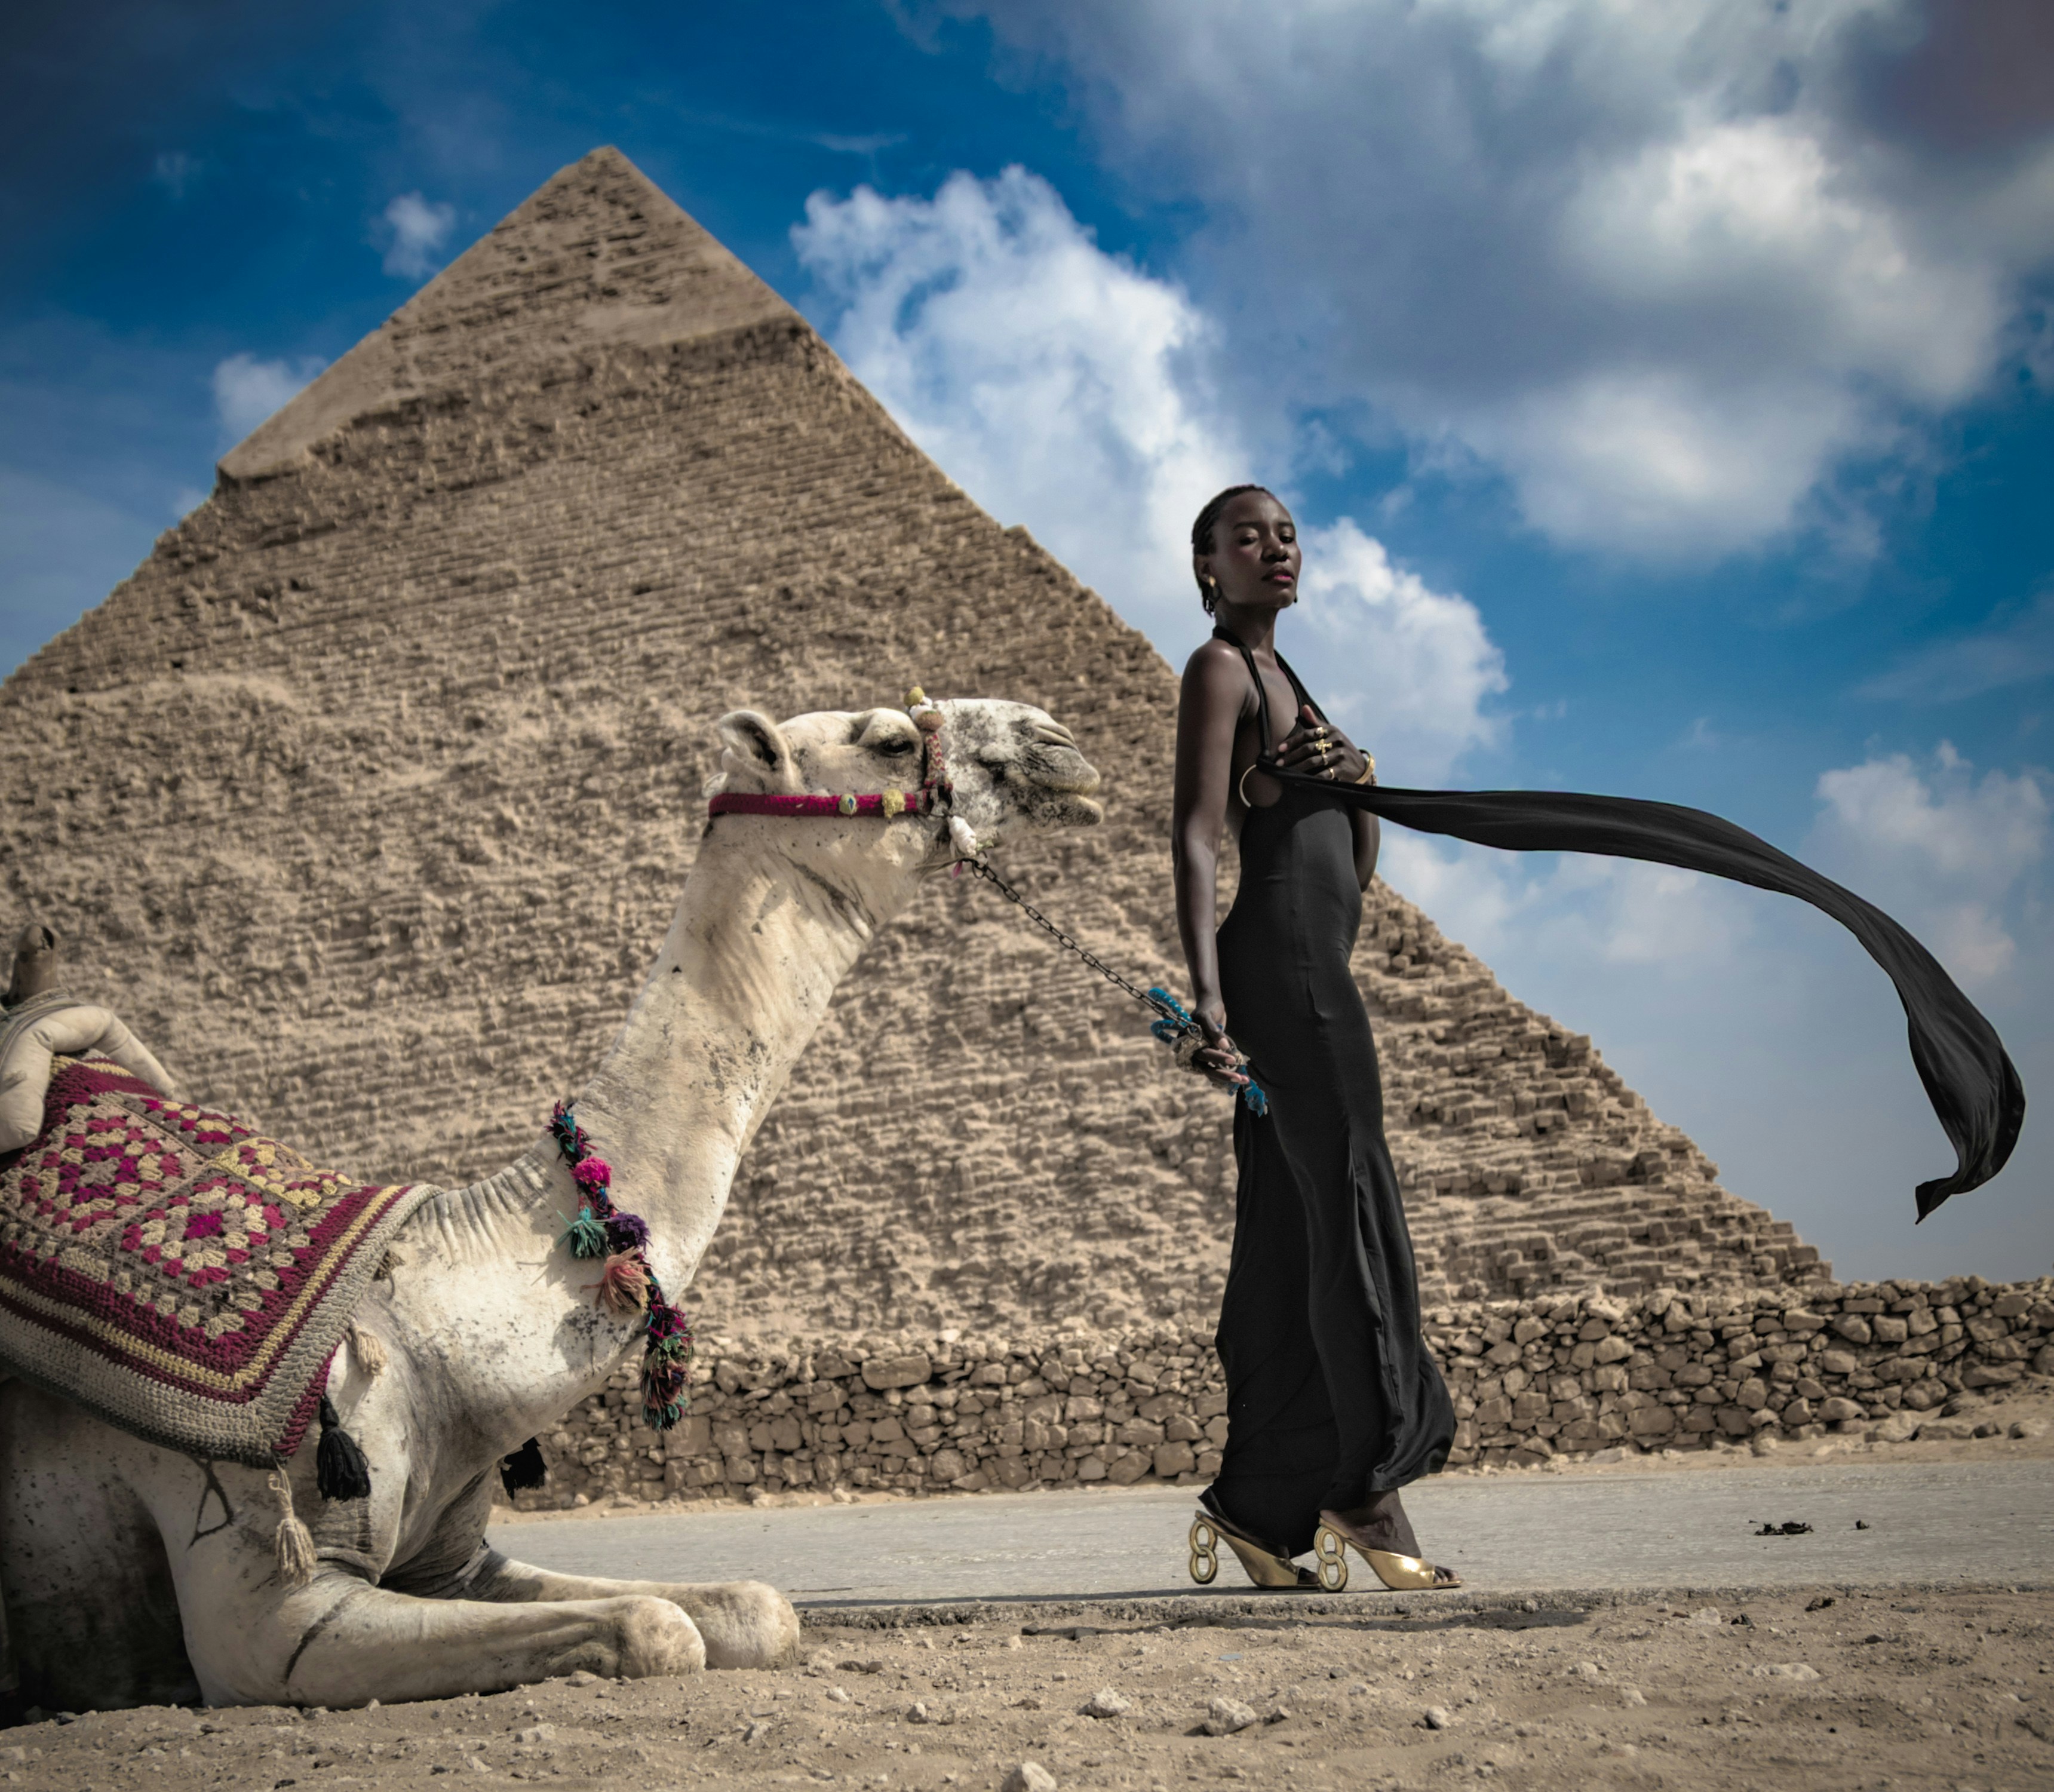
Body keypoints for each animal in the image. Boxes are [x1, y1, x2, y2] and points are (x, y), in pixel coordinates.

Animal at [0, 696, 1102, 1712]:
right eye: (889, 737)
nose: (1060, 744)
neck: (427, 1304)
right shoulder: (268, 1610)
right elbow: (659, 1630)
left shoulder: (459, 1562)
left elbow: (756, 1609)